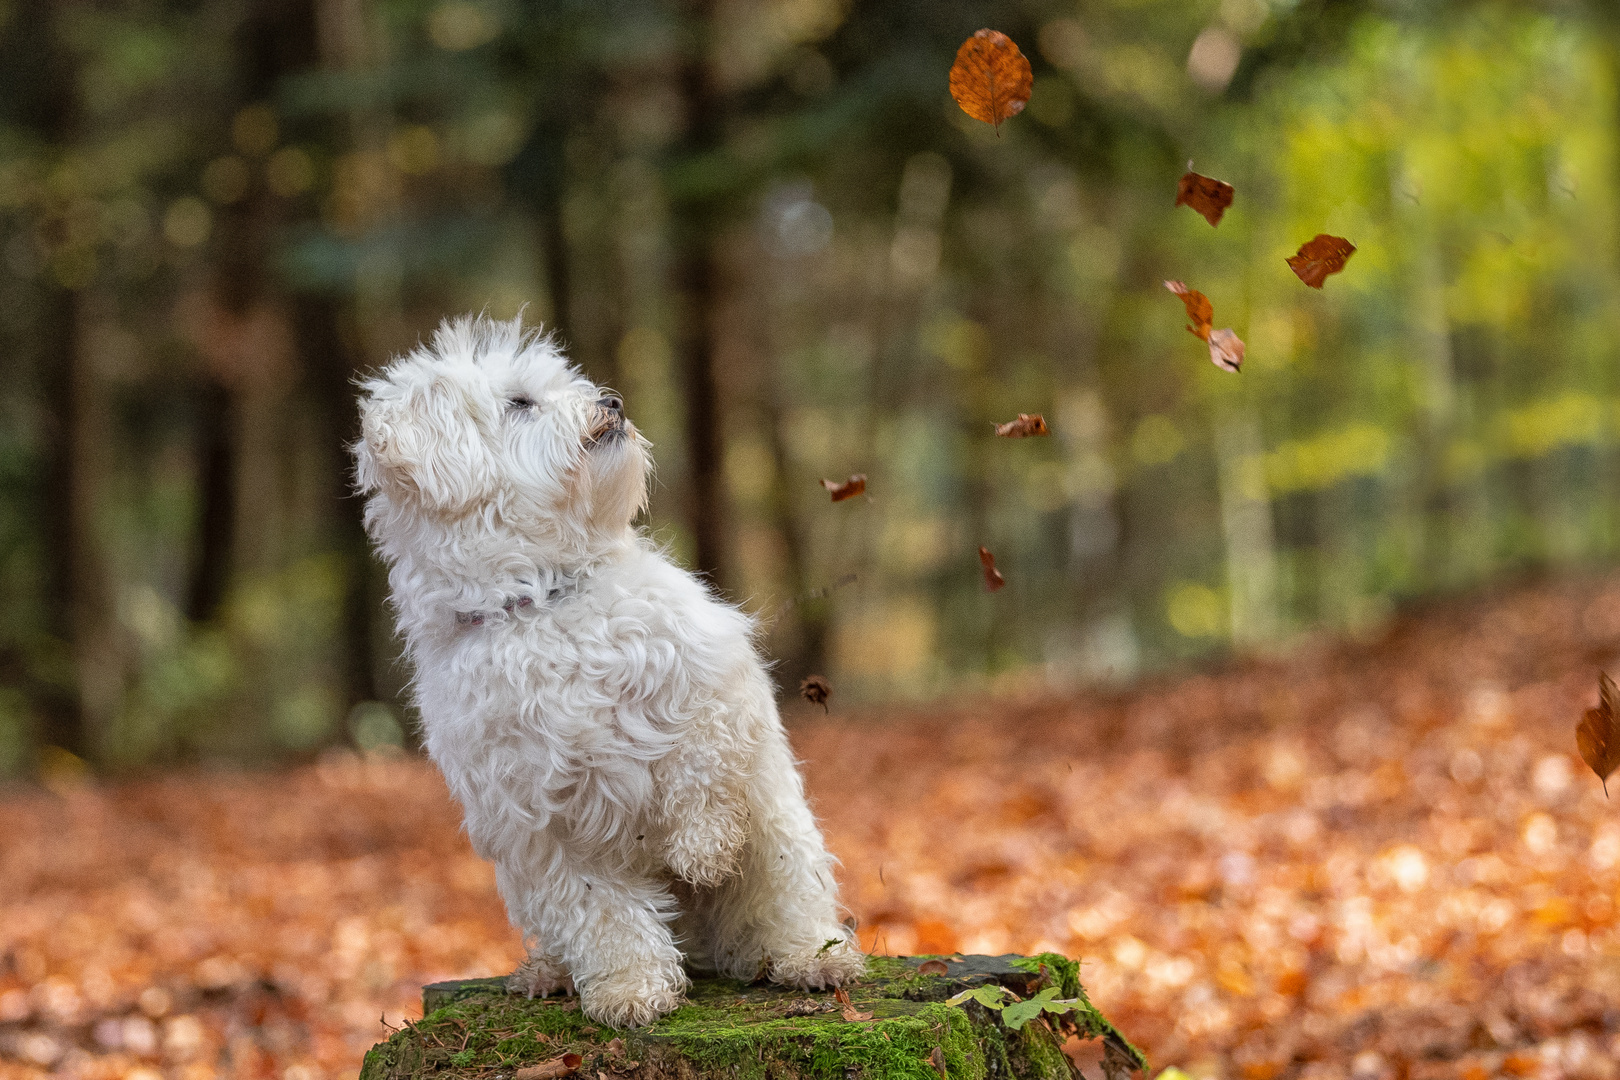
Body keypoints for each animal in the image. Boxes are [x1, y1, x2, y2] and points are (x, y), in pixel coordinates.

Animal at [353, 314, 861, 1029]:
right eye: (520, 403)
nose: (613, 401)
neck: (543, 596)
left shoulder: (715, 675)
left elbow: (699, 762)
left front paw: (699, 848)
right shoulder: (540, 822)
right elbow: (604, 915)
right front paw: (630, 990)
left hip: (779, 841)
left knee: (783, 905)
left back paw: (811, 958)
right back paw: (548, 973)